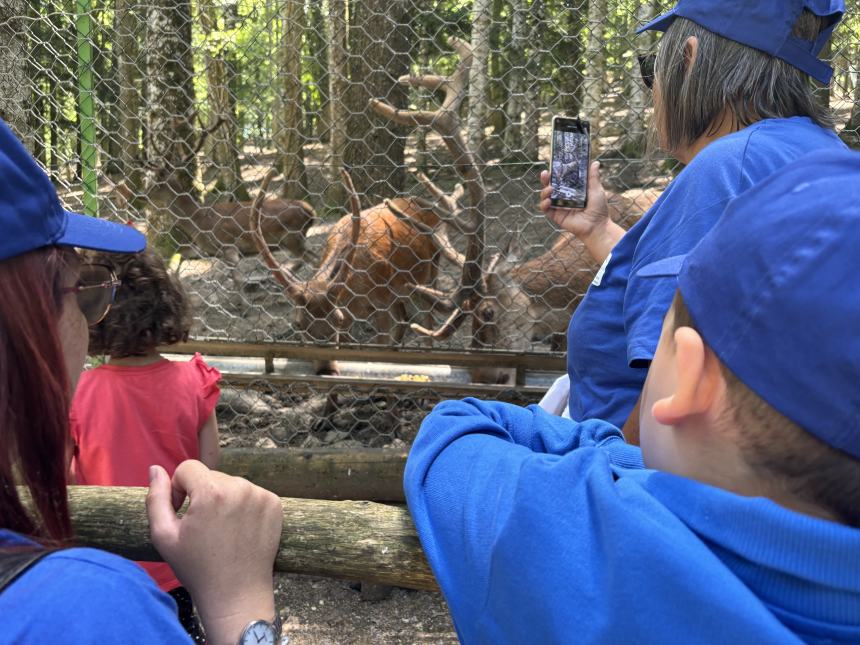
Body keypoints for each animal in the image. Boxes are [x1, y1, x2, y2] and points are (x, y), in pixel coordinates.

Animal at [249, 169, 450, 374]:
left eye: (337, 320)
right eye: (298, 324)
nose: (326, 370)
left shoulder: (380, 304)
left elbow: (380, 346)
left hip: (431, 268)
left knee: (427, 317)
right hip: (399, 289)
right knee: (404, 318)